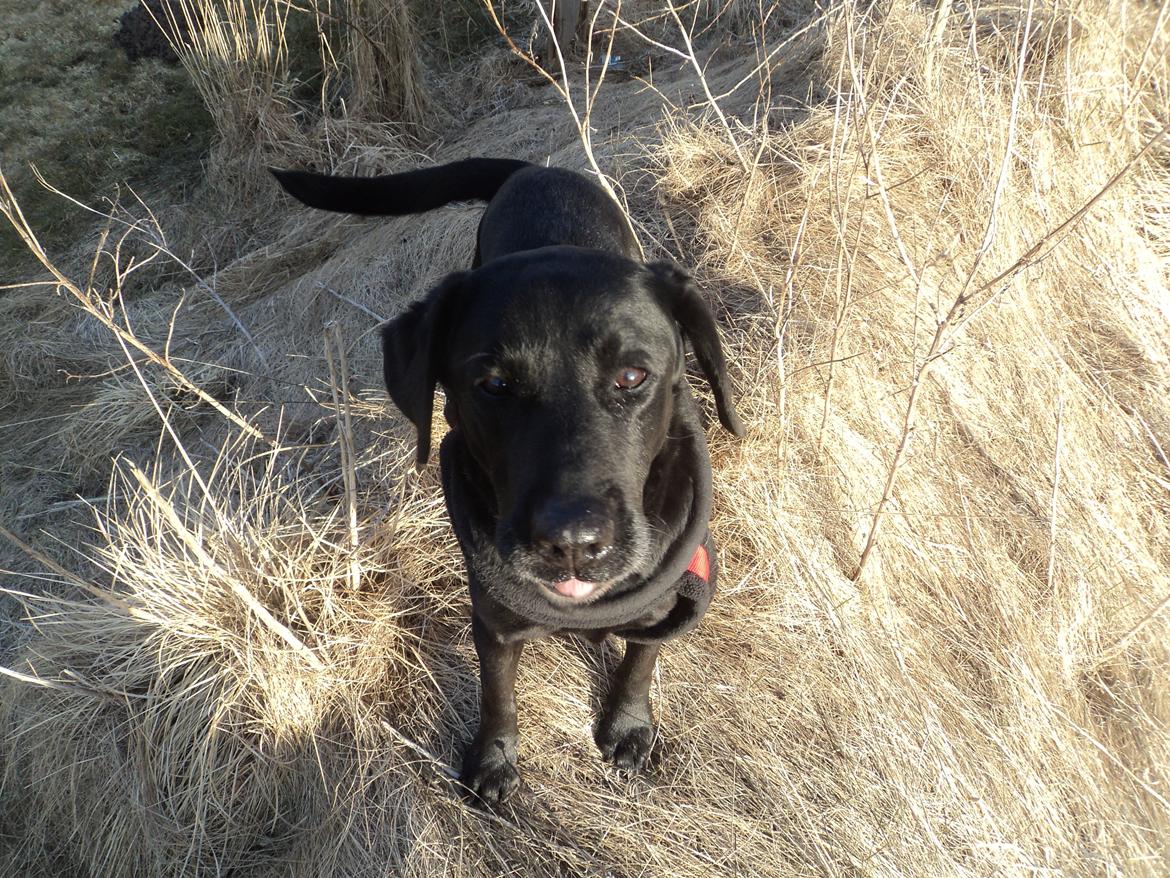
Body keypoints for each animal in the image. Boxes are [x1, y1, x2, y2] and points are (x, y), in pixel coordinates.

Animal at [271, 158, 739, 805]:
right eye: (493, 385)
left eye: (632, 375)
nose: (572, 543)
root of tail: (540, 169)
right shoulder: (493, 621)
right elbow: (498, 696)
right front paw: (494, 761)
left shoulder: (667, 603)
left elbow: (640, 661)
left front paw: (627, 725)